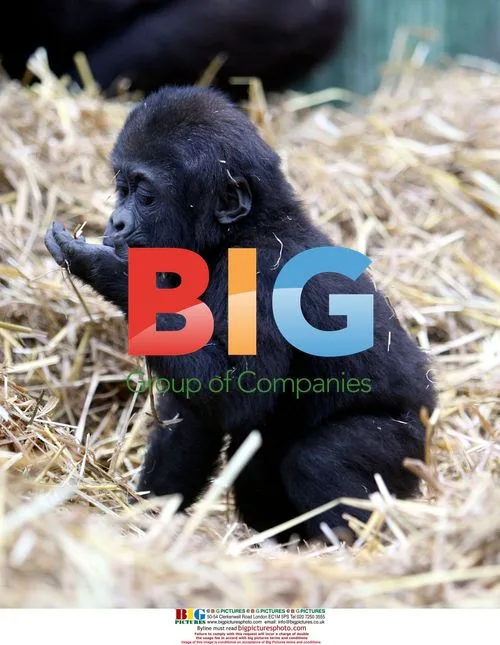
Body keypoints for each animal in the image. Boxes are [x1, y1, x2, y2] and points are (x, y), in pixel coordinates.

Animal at [45, 85, 437, 543]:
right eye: (121, 187)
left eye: (145, 194)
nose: (117, 221)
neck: (240, 231)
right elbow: (194, 415)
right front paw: (145, 517)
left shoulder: (261, 276)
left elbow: (237, 394)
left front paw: (112, 272)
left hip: (409, 449)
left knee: (320, 459)